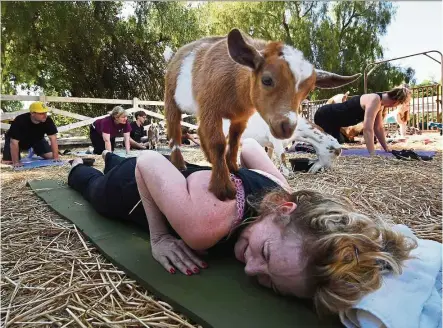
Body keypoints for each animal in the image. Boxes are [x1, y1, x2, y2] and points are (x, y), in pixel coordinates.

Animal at [165, 28, 362, 200]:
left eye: (307, 91)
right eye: (267, 80)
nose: (286, 127)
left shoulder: (241, 118)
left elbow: (237, 142)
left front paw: (234, 167)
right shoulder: (210, 108)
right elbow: (220, 144)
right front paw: (223, 188)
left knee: (201, 132)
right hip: (171, 97)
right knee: (175, 129)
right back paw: (179, 164)